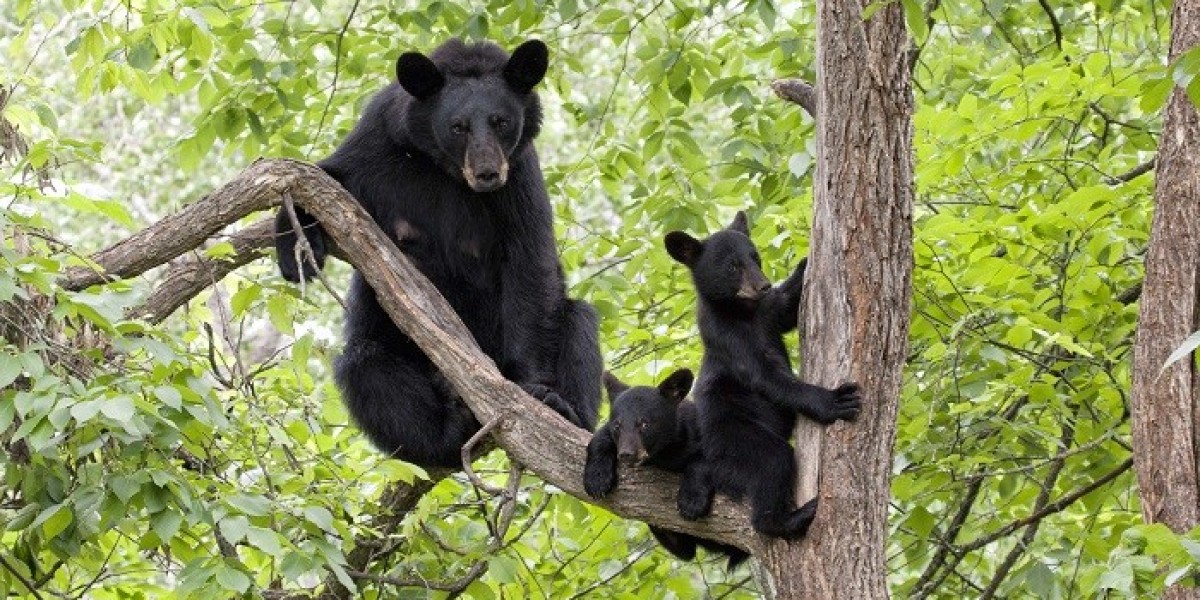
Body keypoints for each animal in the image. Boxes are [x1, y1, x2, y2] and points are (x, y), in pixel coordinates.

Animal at [273, 39, 603, 467]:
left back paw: (567, 410)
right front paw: (294, 248)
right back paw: (446, 433)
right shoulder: (379, 142)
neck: (445, 170)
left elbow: (530, 261)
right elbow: (327, 177)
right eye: (457, 126)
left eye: (501, 121)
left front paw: (535, 390)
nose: (487, 174)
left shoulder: (520, 175)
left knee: (578, 321)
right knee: (367, 367)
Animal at [583, 369, 749, 569]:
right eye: (618, 425)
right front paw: (597, 480)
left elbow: (707, 462)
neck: (664, 452)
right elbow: (600, 438)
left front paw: (691, 502)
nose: (626, 454)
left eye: (644, 423)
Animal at [663, 211, 861, 539]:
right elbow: (767, 377)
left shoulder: (768, 313)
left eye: (754, 257)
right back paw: (787, 519)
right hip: (734, 437)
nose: (764, 285)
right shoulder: (728, 338)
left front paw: (804, 263)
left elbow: (787, 309)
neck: (743, 312)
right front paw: (834, 400)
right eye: (733, 266)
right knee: (772, 462)